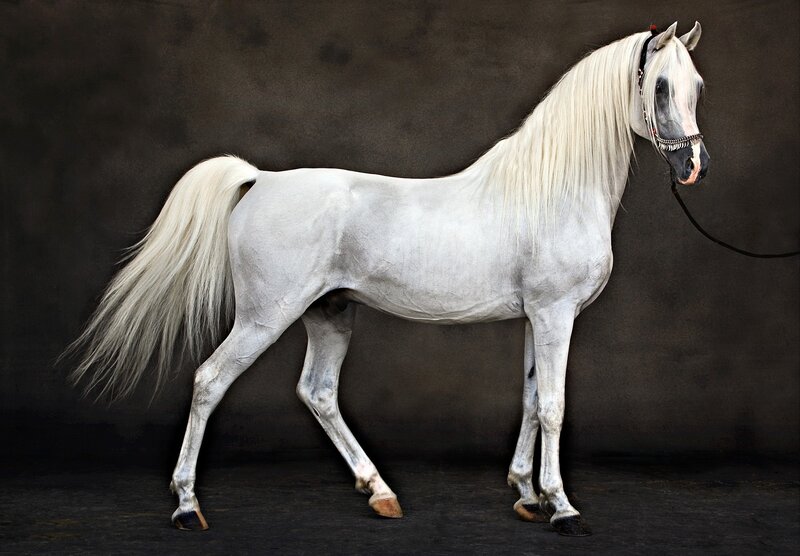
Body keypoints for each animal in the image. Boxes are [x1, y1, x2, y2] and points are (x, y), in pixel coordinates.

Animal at [67, 22, 708, 536]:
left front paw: (526, 496)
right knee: (208, 381)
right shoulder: (554, 315)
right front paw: (562, 507)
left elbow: (529, 399)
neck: (552, 189)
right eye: (659, 88)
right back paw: (186, 506)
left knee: (318, 392)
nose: (692, 166)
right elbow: (552, 405)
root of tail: (261, 179)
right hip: (264, 317)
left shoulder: (536, 317)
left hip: (328, 314)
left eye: (698, 86)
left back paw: (379, 492)